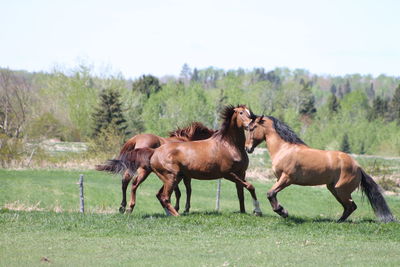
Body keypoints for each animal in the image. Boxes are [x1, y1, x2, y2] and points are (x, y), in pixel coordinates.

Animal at [244, 116, 394, 223]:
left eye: (252, 128)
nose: (247, 148)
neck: (284, 149)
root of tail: (358, 167)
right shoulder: (279, 179)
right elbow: (273, 194)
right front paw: (282, 211)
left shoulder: (287, 178)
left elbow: (270, 193)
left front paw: (283, 212)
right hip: (333, 189)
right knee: (348, 207)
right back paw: (338, 221)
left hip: (341, 190)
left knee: (351, 206)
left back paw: (338, 222)